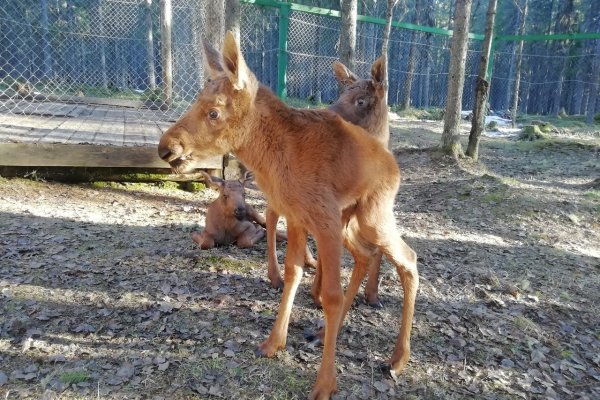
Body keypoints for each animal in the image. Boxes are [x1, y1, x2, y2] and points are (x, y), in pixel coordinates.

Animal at [159, 32, 422, 398]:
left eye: (213, 112)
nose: (166, 147)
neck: (275, 159)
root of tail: (393, 164)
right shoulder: (298, 217)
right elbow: (294, 272)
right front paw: (274, 342)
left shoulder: (323, 219)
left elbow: (330, 294)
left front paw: (325, 383)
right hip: (351, 223)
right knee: (367, 255)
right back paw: (332, 333)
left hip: (373, 216)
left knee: (408, 258)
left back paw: (398, 358)